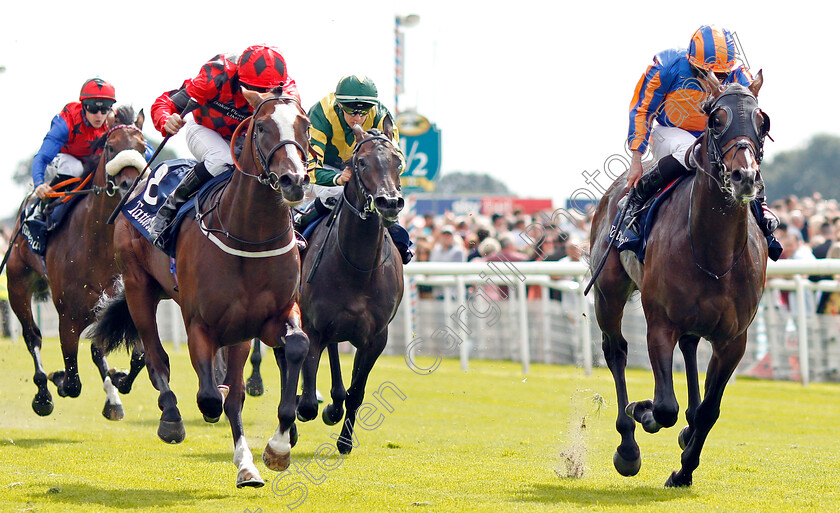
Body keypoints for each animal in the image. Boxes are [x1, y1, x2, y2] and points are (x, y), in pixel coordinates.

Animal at [5, 105, 148, 420]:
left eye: (143, 148)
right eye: (111, 147)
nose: (130, 186)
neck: (97, 244)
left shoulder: (121, 304)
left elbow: (139, 357)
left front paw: (118, 380)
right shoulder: (67, 317)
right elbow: (72, 382)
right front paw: (57, 380)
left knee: (96, 349)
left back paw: (112, 399)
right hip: (17, 283)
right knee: (32, 336)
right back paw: (43, 394)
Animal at [90, 90, 312, 486]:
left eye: (305, 125)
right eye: (263, 126)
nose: (293, 181)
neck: (248, 234)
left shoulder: (272, 317)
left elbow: (294, 348)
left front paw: (277, 448)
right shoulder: (200, 323)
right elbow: (209, 395)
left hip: (236, 330)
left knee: (234, 390)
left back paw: (246, 466)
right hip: (138, 286)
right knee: (156, 358)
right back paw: (170, 417)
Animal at [294, 124, 406, 452]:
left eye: (398, 161)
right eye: (362, 162)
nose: (389, 202)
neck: (357, 266)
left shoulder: (375, 338)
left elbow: (357, 392)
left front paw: (344, 439)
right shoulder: (313, 327)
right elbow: (307, 402)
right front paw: (304, 409)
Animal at [588, 71, 772, 484]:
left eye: (763, 121)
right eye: (715, 120)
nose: (745, 177)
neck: (714, 253)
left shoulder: (734, 340)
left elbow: (709, 410)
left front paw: (685, 469)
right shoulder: (660, 323)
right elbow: (664, 406)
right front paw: (642, 411)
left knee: (689, 348)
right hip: (608, 293)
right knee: (616, 350)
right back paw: (628, 445)